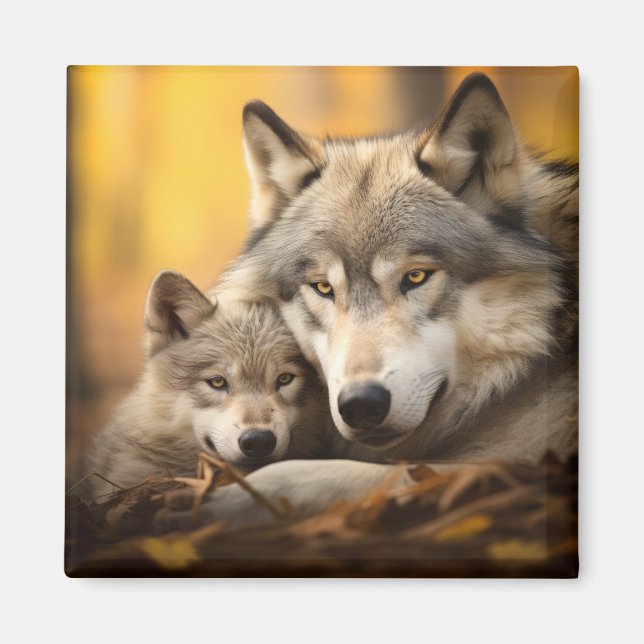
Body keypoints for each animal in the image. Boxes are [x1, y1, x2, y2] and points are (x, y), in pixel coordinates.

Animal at [161, 73, 578, 529]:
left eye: (416, 276)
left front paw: (235, 498)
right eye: (323, 287)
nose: (361, 405)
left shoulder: (521, 460)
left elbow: (354, 474)